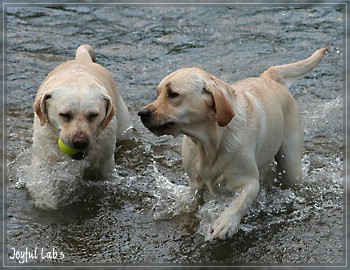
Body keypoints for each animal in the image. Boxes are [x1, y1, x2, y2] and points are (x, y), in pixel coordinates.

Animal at [28, 44, 131, 210]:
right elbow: (42, 182)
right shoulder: (42, 155)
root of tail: (83, 59)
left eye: (93, 115)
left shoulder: (106, 163)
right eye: (64, 114)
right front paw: (47, 201)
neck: (77, 79)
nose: (80, 141)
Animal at [139, 47, 328, 239]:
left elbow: (240, 202)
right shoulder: (195, 185)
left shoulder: (250, 183)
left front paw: (225, 223)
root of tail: (267, 77)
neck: (209, 143)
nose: (142, 113)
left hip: (291, 165)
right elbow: (193, 202)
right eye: (158, 93)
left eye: (172, 94)